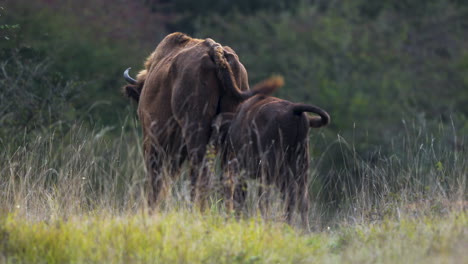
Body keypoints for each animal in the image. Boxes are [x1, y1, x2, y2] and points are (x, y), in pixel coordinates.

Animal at [212, 92, 330, 225]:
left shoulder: (241, 170)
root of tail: (294, 109)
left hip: (271, 171)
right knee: (300, 201)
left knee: (268, 199)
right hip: (301, 169)